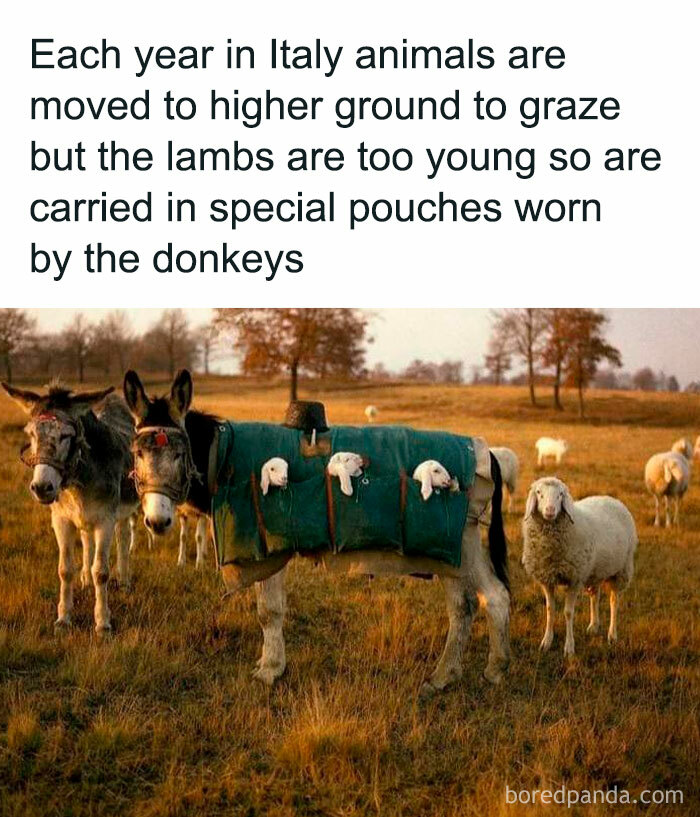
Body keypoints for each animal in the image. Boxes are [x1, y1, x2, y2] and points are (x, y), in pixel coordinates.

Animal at [522, 477, 637, 657]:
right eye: (539, 493)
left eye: (560, 494)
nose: (550, 510)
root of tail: (612, 499)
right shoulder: (547, 578)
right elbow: (550, 609)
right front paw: (546, 641)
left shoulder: (574, 579)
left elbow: (568, 613)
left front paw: (569, 647)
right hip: (596, 570)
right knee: (595, 596)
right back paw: (594, 626)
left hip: (621, 571)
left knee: (614, 602)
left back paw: (612, 635)